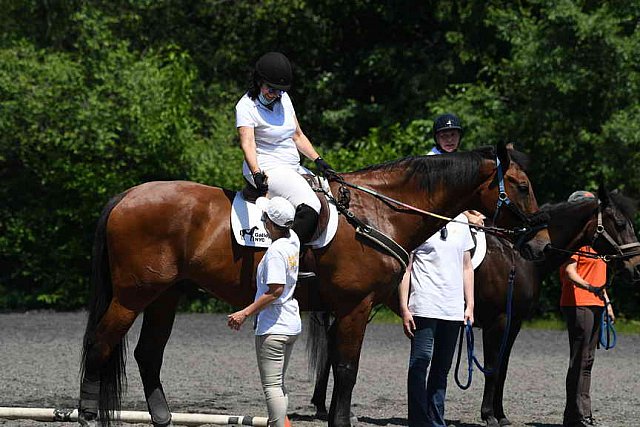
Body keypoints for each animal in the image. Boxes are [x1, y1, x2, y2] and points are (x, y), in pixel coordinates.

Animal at [79, 144, 552, 427]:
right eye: (522, 185)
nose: (542, 244)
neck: (378, 214)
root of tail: (127, 195)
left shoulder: (351, 310)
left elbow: (343, 370)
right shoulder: (354, 308)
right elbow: (346, 370)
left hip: (165, 297)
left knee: (147, 354)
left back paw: (161, 417)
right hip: (133, 296)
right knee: (101, 345)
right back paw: (85, 414)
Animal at [308, 186, 636, 427]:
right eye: (620, 224)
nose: (636, 267)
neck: (516, 256)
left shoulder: (513, 323)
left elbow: (502, 368)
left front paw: (500, 414)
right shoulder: (498, 321)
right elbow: (493, 367)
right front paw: (489, 415)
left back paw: (326, 407)